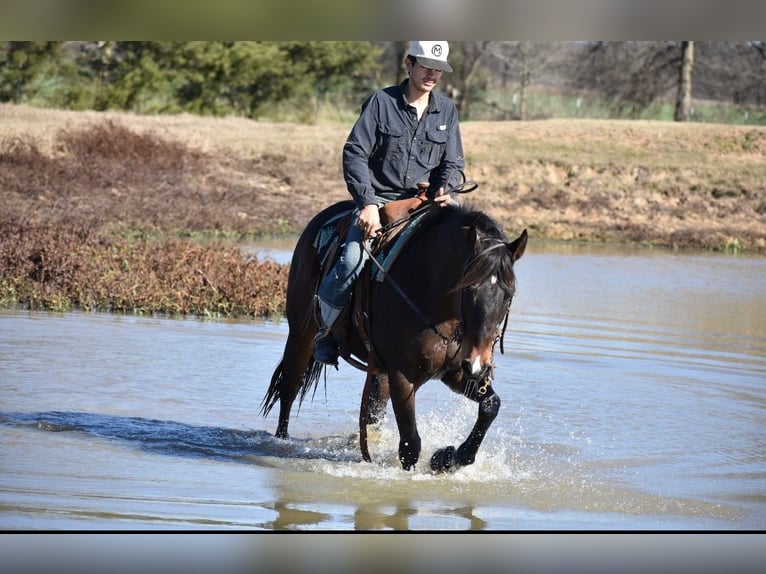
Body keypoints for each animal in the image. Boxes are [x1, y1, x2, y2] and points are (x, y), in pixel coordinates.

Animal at [260, 197, 527, 472]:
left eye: (508, 294)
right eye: (469, 288)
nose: (478, 365)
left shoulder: (454, 372)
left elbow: (491, 406)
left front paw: (449, 457)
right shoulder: (402, 376)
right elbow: (410, 445)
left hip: (379, 371)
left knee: (371, 413)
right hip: (300, 335)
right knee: (289, 389)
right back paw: (282, 440)